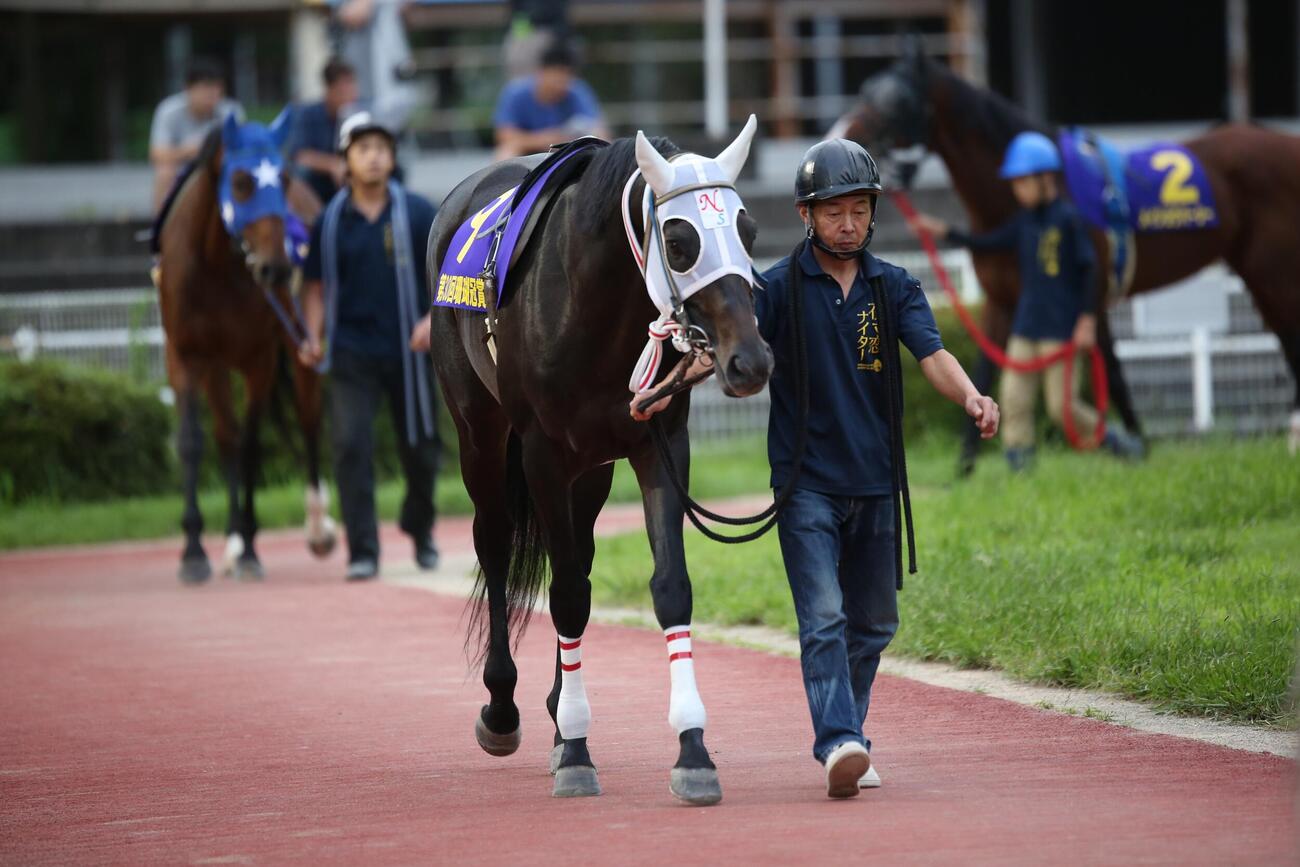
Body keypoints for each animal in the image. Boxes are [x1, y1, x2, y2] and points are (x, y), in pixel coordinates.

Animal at [157, 110, 336, 583]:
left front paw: (251, 545)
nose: (277, 268)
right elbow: (195, 440)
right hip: (218, 364)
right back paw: (232, 542)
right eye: (240, 181)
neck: (217, 266)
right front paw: (195, 549)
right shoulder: (185, 355)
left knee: (309, 421)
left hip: (303, 342)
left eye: (284, 177)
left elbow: (253, 443)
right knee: (226, 435)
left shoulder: (259, 357)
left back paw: (316, 527)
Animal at [426, 118, 771, 804]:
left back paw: (560, 718)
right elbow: (564, 597)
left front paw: (692, 750)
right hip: (481, 437)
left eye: (747, 232)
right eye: (680, 240)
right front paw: (578, 752)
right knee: (495, 545)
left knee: (578, 555)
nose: (749, 360)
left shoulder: (659, 443)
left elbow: (668, 588)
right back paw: (503, 709)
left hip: (592, 469)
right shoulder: (541, 454)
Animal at [830, 44, 1300, 464]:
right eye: (866, 89)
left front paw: (1137, 446)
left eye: (896, 101)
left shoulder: (1090, 295)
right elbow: (981, 369)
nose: (840, 137)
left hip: (1274, 270)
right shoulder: (1002, 299)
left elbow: (1110, 372)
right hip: (1258, 272)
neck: (1023, 204)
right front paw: (964, 466)